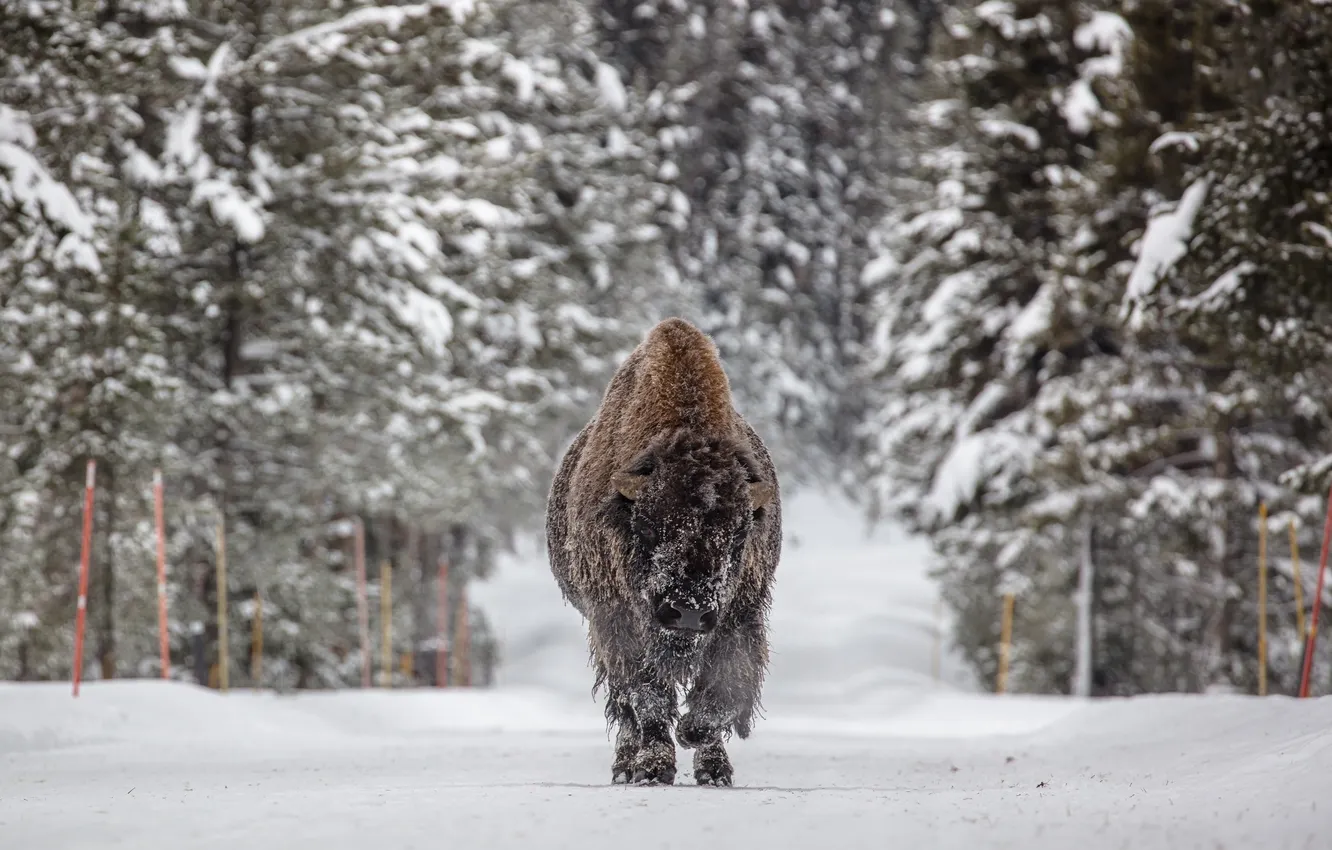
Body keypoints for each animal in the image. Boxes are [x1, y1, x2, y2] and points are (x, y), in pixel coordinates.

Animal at [546, 317, 782, 786]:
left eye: (739, 535)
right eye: (648, 527)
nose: (688, 612)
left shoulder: (740, 614)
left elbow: (723, 688)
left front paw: (699, 742)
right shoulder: (617, 620)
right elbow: (647, 696)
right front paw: (654, 767)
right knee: (624, 708)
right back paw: (626, 766)